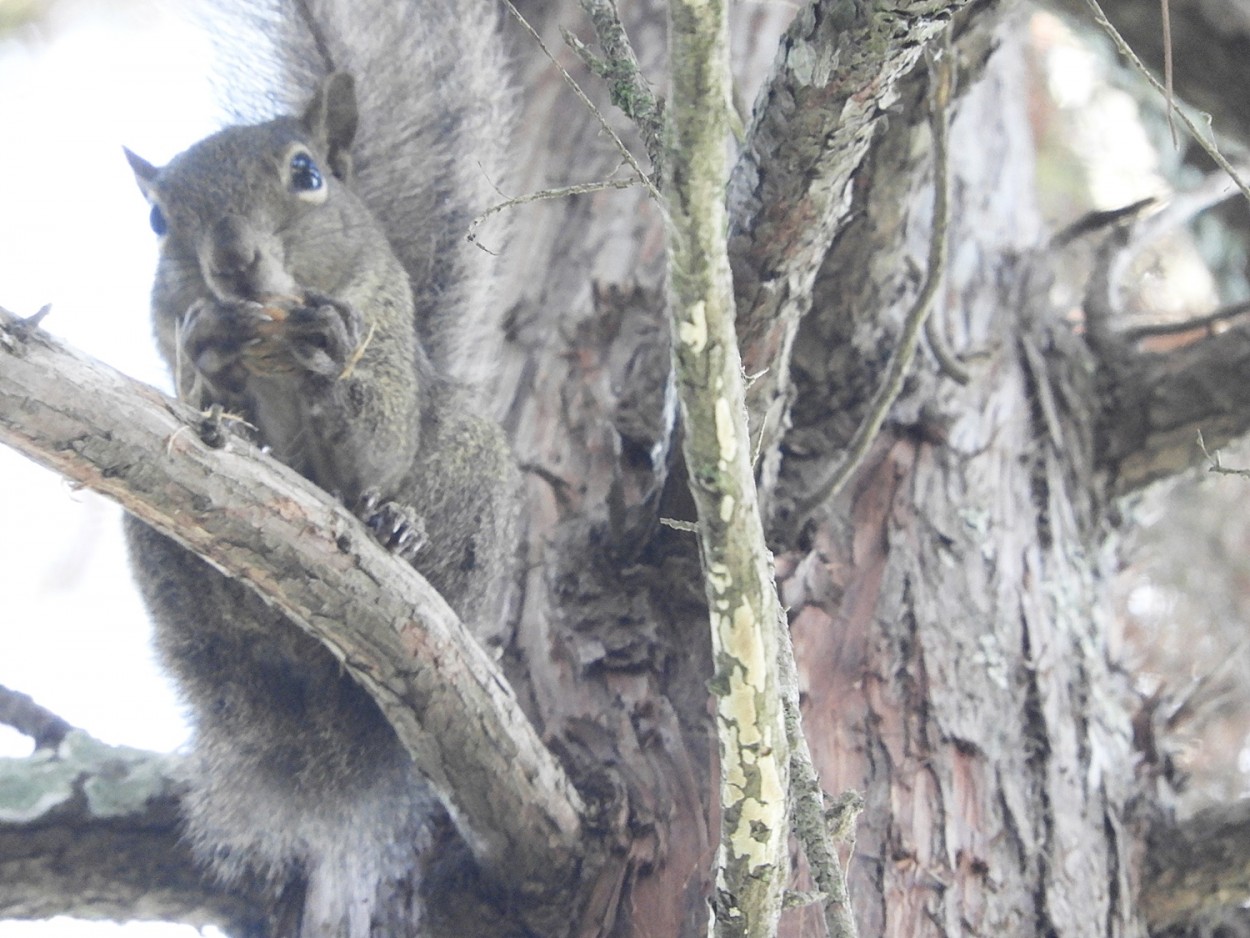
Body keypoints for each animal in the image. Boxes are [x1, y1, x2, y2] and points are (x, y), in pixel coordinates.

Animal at [120, 3, 517, 935]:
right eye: (158, 222)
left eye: (305, 174)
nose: (232, 261)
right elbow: (201, 397)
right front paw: (210, 362)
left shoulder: (387, 331)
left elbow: (381, 440)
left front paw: (333, 360)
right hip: (157, 541)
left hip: (475, 481)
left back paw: (404, 532)